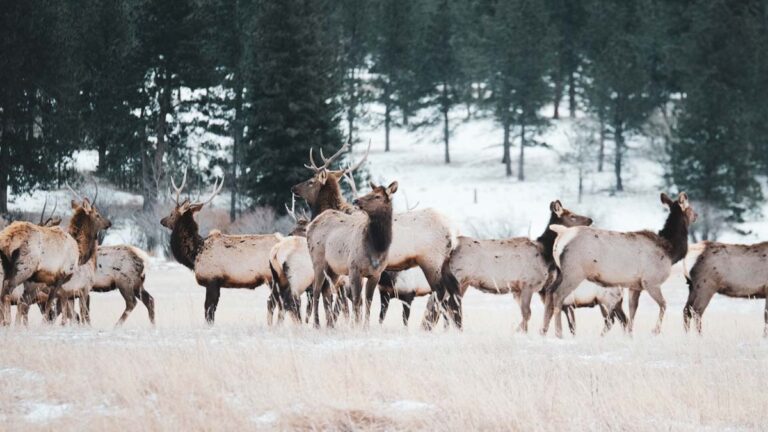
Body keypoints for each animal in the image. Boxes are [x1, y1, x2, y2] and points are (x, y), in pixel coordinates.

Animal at [160, 173, 282, 324]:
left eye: (171, 213)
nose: (162, 220)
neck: (195, 254)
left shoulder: (212, 280)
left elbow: (209, 311)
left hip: (272, 278)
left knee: (276, 302)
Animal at [306, 180, 399, 327]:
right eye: (370, 192)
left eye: (377, 196)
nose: (356, 200)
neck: (377, 248)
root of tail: (310, 226)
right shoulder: (354, 268)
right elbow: (356, 299)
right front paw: (356, 325)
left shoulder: (376, 274)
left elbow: (368, 301)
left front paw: (365, 327)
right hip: (318, 261)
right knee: (316, 290)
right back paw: (316, 324)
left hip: (333, 269)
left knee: (326, 290)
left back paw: (330, 324)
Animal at [542, 192, 696, 338]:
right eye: (690, 208)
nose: (697, 215)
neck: (671, 251)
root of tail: (562, 233)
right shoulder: (651, 281)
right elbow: (663, 304)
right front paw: (655, 331)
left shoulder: (635, 285)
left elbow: (632, 311)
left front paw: (630, 335)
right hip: (574, 272)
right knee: (558, 295)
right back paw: (558, 333)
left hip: (562, 272)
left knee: (549, 292)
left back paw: (543, 331)